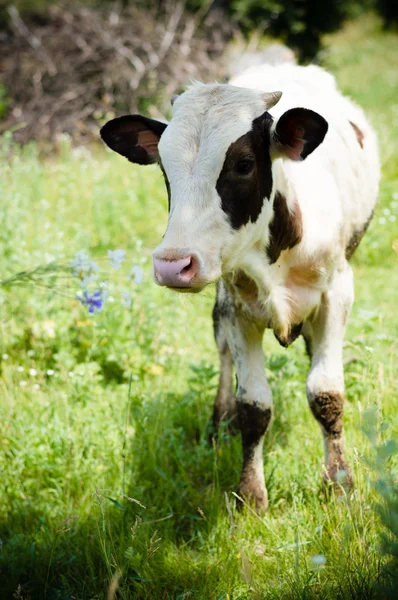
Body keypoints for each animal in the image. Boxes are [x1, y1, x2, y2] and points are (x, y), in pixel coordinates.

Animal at [100, 63, 380, 510]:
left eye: (244, 164)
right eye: (164, 168)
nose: (172, 265)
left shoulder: (337, 294)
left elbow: (326, 393)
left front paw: (339, 482)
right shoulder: (237, 307)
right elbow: (254, 407)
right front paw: (251, 494)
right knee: (223, 353)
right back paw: (220, 419)